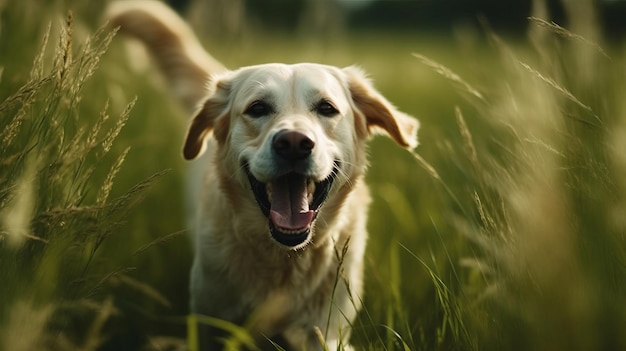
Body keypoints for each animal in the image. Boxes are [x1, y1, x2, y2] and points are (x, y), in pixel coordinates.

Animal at [107, 1, 420, 350]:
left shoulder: (325, 329)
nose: (294, 143)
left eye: (327, 108)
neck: (283, 258)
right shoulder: (212, 319)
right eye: (257, 108)